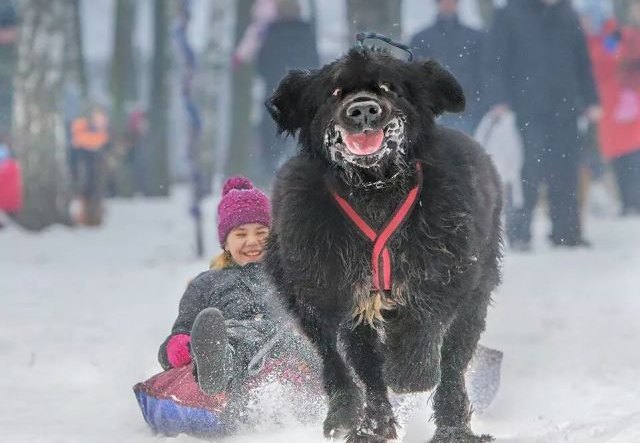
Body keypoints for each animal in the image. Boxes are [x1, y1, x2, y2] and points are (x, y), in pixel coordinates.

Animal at [262, 46, 502, 442]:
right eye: (334, 92)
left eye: (389, 87)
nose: (363, 109)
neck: (374, 189)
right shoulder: (337, 290)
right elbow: (359, 361)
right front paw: (368, 417)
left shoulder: (447, 269)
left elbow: (423, 320)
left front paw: (411, 373)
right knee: (341, 361)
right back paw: (355, 417)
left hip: (476, 294)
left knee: (453, 362)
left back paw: (452, 425)